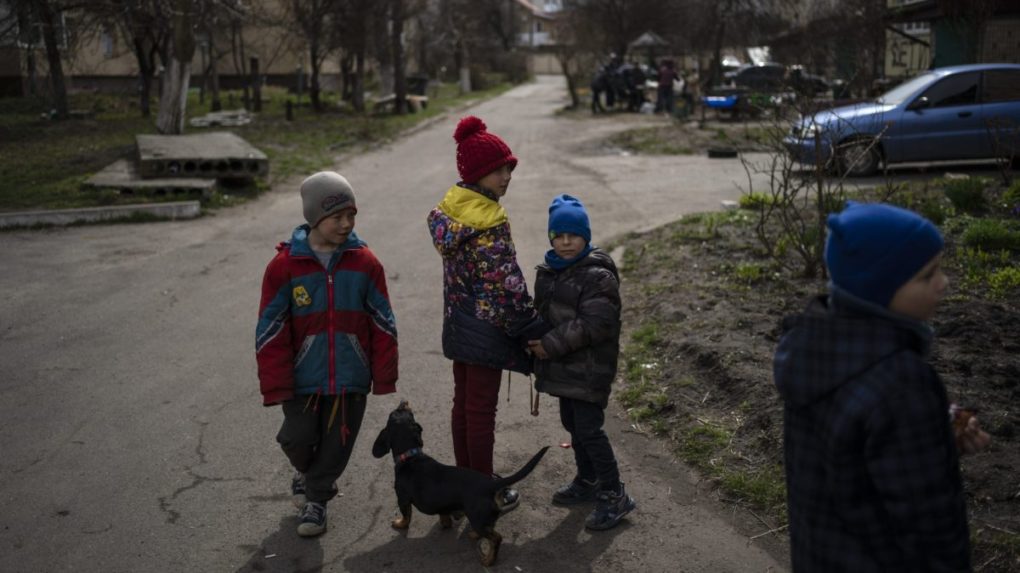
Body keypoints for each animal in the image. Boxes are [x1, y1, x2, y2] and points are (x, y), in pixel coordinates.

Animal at [373, 399, 550, 562]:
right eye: (404, 412)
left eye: (394, 413)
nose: (403, 401)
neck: (410, 455)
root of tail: (490, 483)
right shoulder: (442, 505)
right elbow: (443, 515)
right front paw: (445, 523)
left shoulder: (402, 498)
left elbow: (406, 516)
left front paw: (399, 524)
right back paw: (474, 535)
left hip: (477, 518)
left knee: (496, 538)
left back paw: (488, 560)